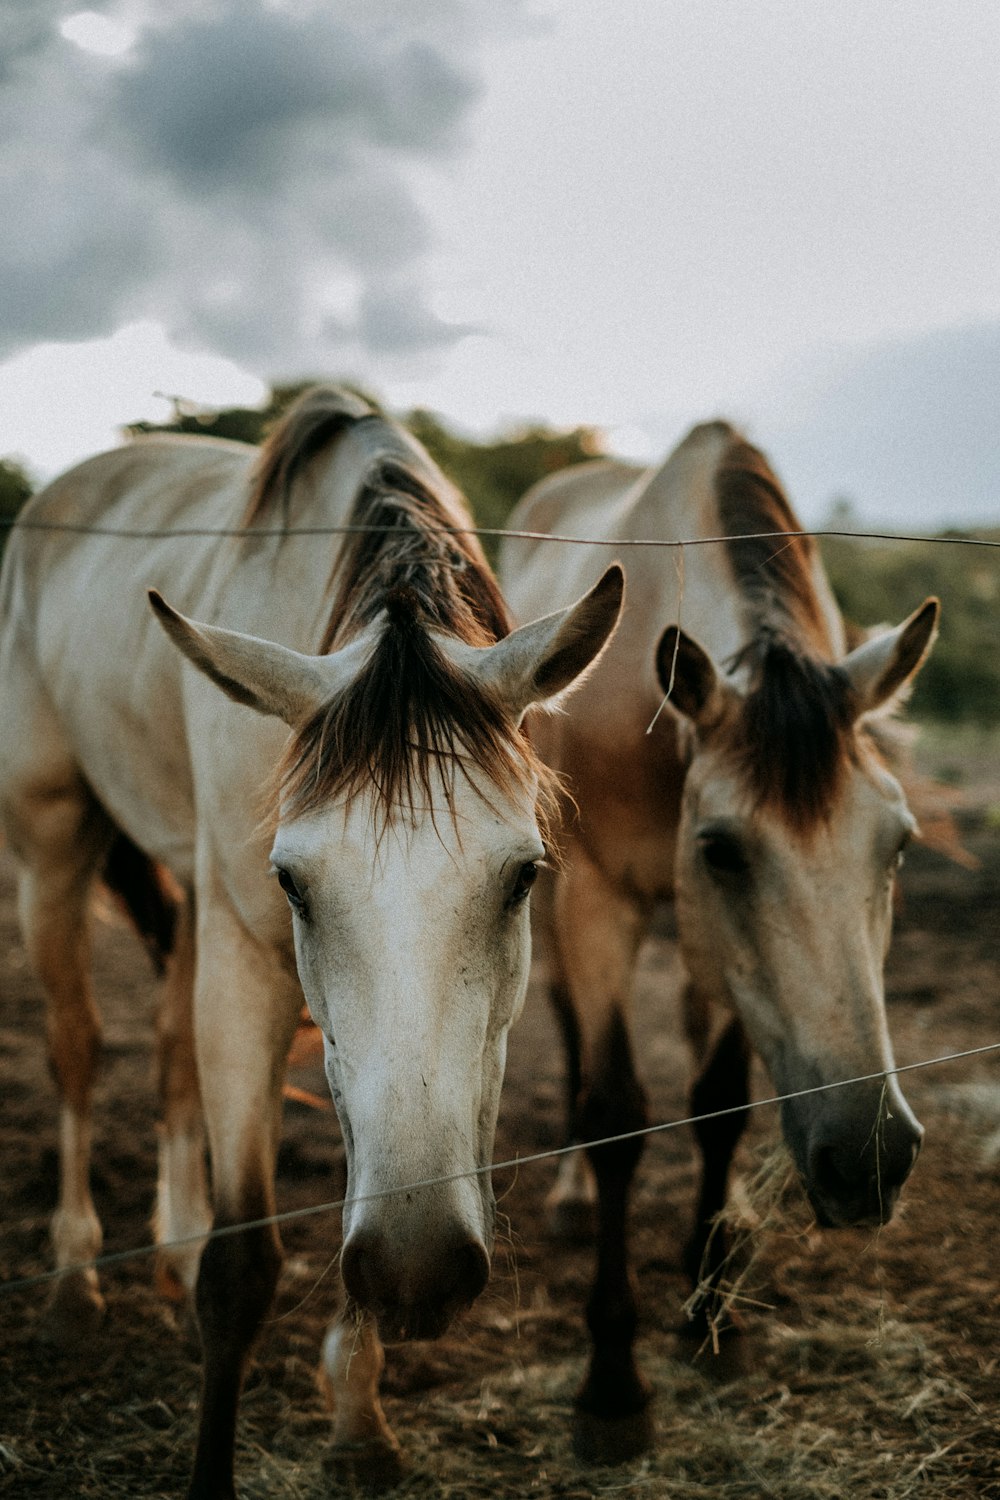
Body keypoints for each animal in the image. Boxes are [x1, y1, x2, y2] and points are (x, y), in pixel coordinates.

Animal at [0, 390, 620, 1500]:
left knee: (166, 1053)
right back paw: (74, 1283)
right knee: (75, 1047)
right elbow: (242, 1271)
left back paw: (165, 1254)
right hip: (52, 846)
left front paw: (357, 1416)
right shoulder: (250, 962)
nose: (418, 1272)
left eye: (523, 876)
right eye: (292, 879)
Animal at [503, 423, 941, 1464]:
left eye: (898, 843)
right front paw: (612, 1385)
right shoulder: (599, 900)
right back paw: (574, 1196)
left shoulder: (737, 969)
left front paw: (712, 1307)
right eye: (722, 849)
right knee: (569, 1029)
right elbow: (614, 1111)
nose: (869, 1157)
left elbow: (719, 1105)